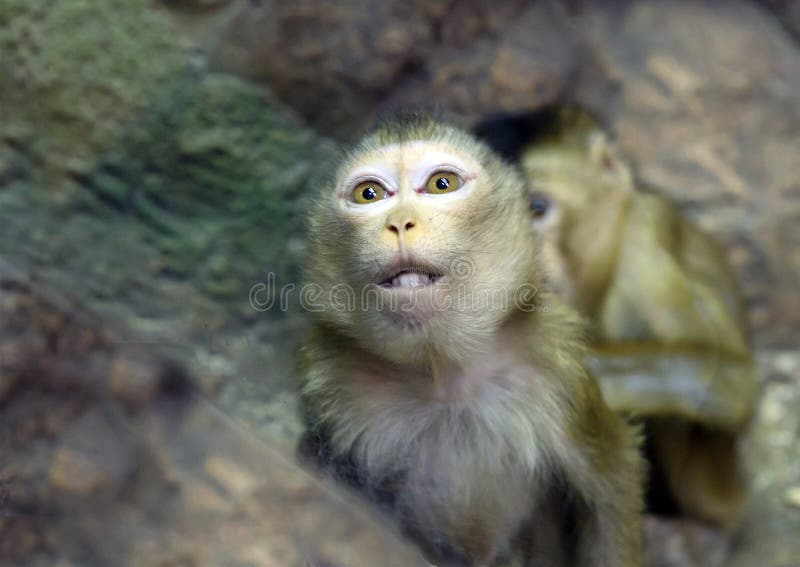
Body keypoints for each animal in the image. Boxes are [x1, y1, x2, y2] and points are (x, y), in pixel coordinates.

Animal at [294, 114, 644, 567]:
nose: (400, 222)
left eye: (442, 184)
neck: (443, 374)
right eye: (368, 194)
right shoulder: (331, 379)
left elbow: (611, 483)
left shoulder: (555, 363)